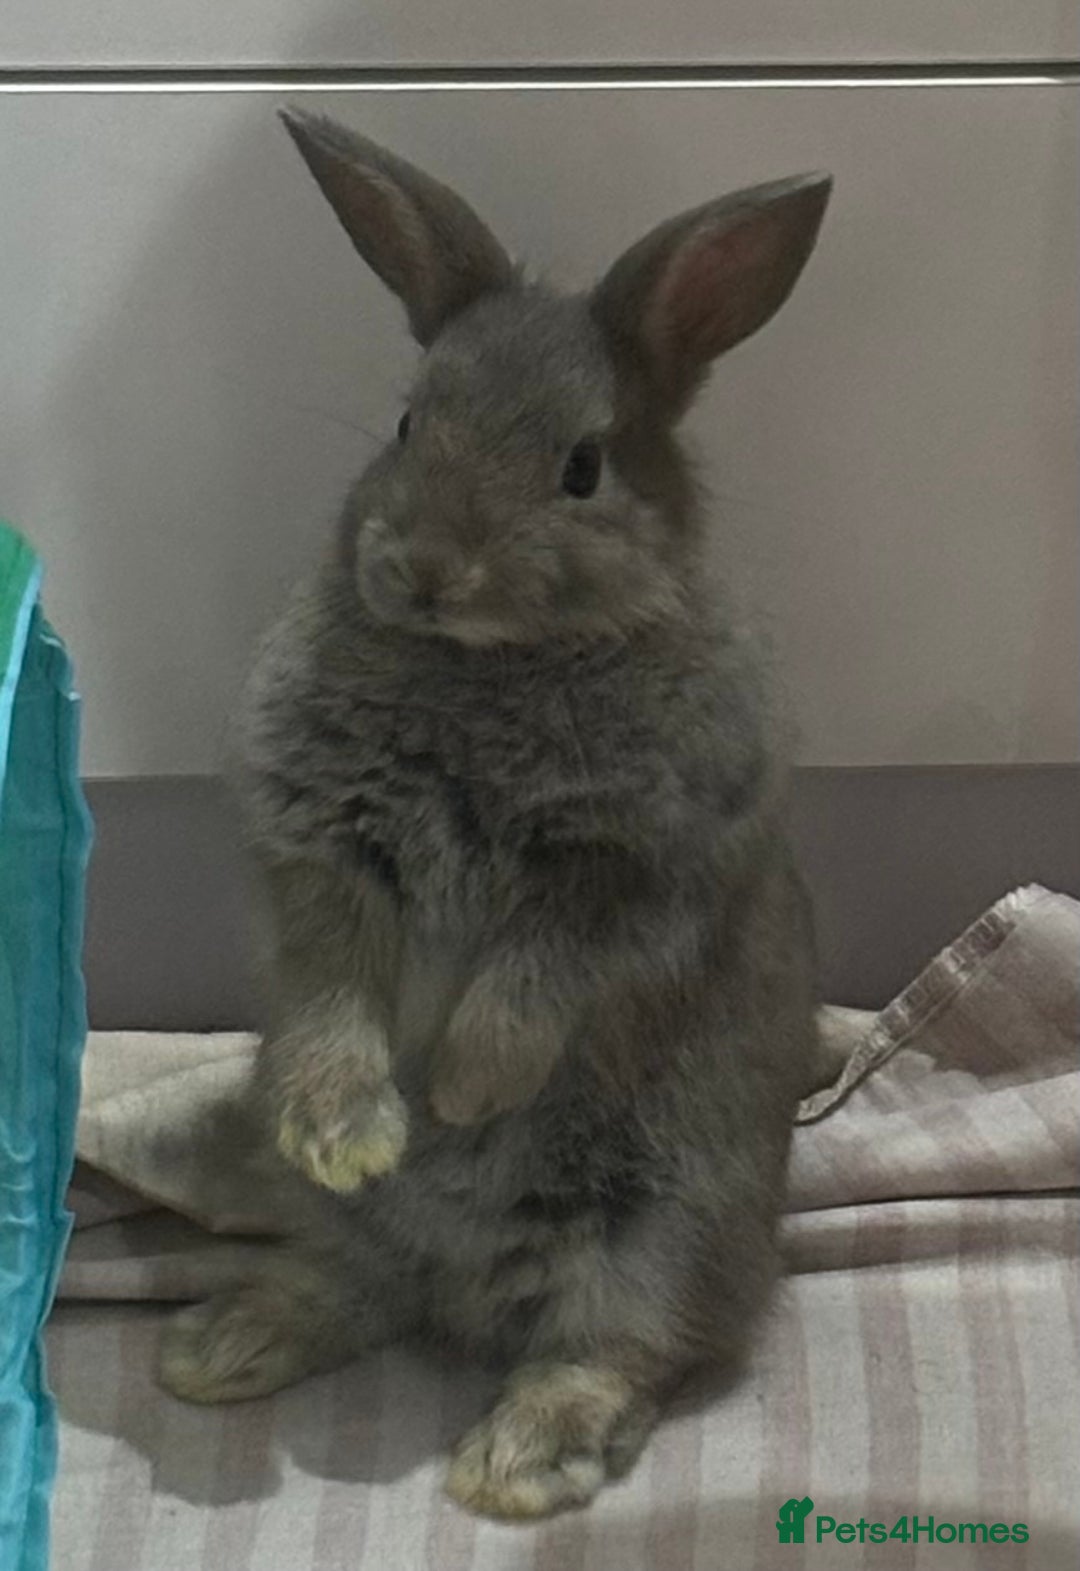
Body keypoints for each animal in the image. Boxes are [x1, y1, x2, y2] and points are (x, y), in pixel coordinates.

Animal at [158, 107, 830, 1520]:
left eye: (582, 466)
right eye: (411, 422)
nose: (424, 570)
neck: (487, 662)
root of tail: (467, 1297)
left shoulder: (624, 877)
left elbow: (529, 986)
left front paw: (463, 1094)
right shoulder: (324, 854)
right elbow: (333, 989)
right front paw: (349, 1128)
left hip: (664, 1230)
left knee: (625, 1349)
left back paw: (512, 1462)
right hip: (350, 1235)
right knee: (352, 1281)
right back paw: (223, 1342)